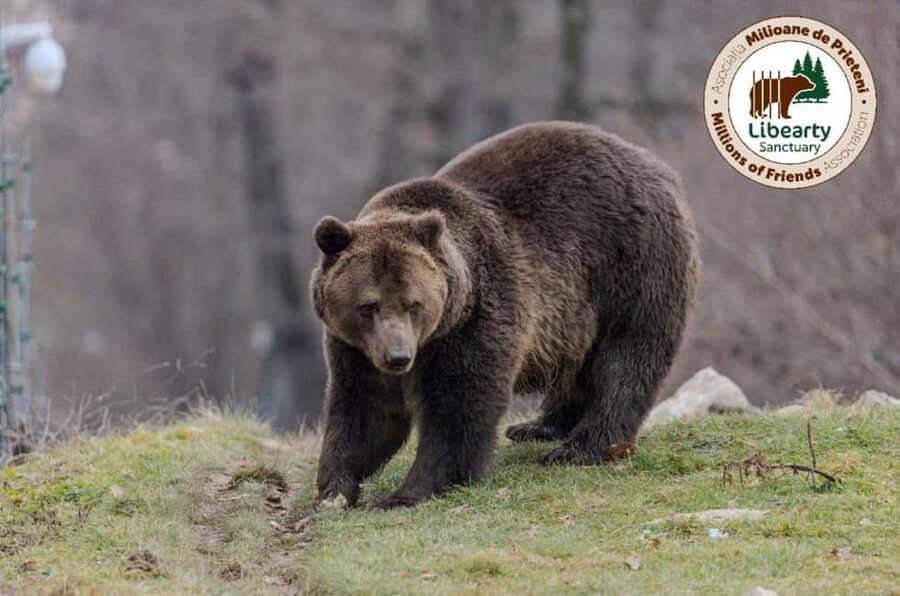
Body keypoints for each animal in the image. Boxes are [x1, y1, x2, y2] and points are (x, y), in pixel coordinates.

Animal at [310, 121, 699, 509]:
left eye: (414, 304)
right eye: (368, 306)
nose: (398, 357)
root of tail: (655, 164)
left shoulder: (476, 317)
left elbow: (459, 405)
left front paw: (406, 493)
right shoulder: (356, 348)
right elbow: (366, 410)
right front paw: (335, 489)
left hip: (631, 263)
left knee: (626, 357)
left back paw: (581, 446)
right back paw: (538, 426)